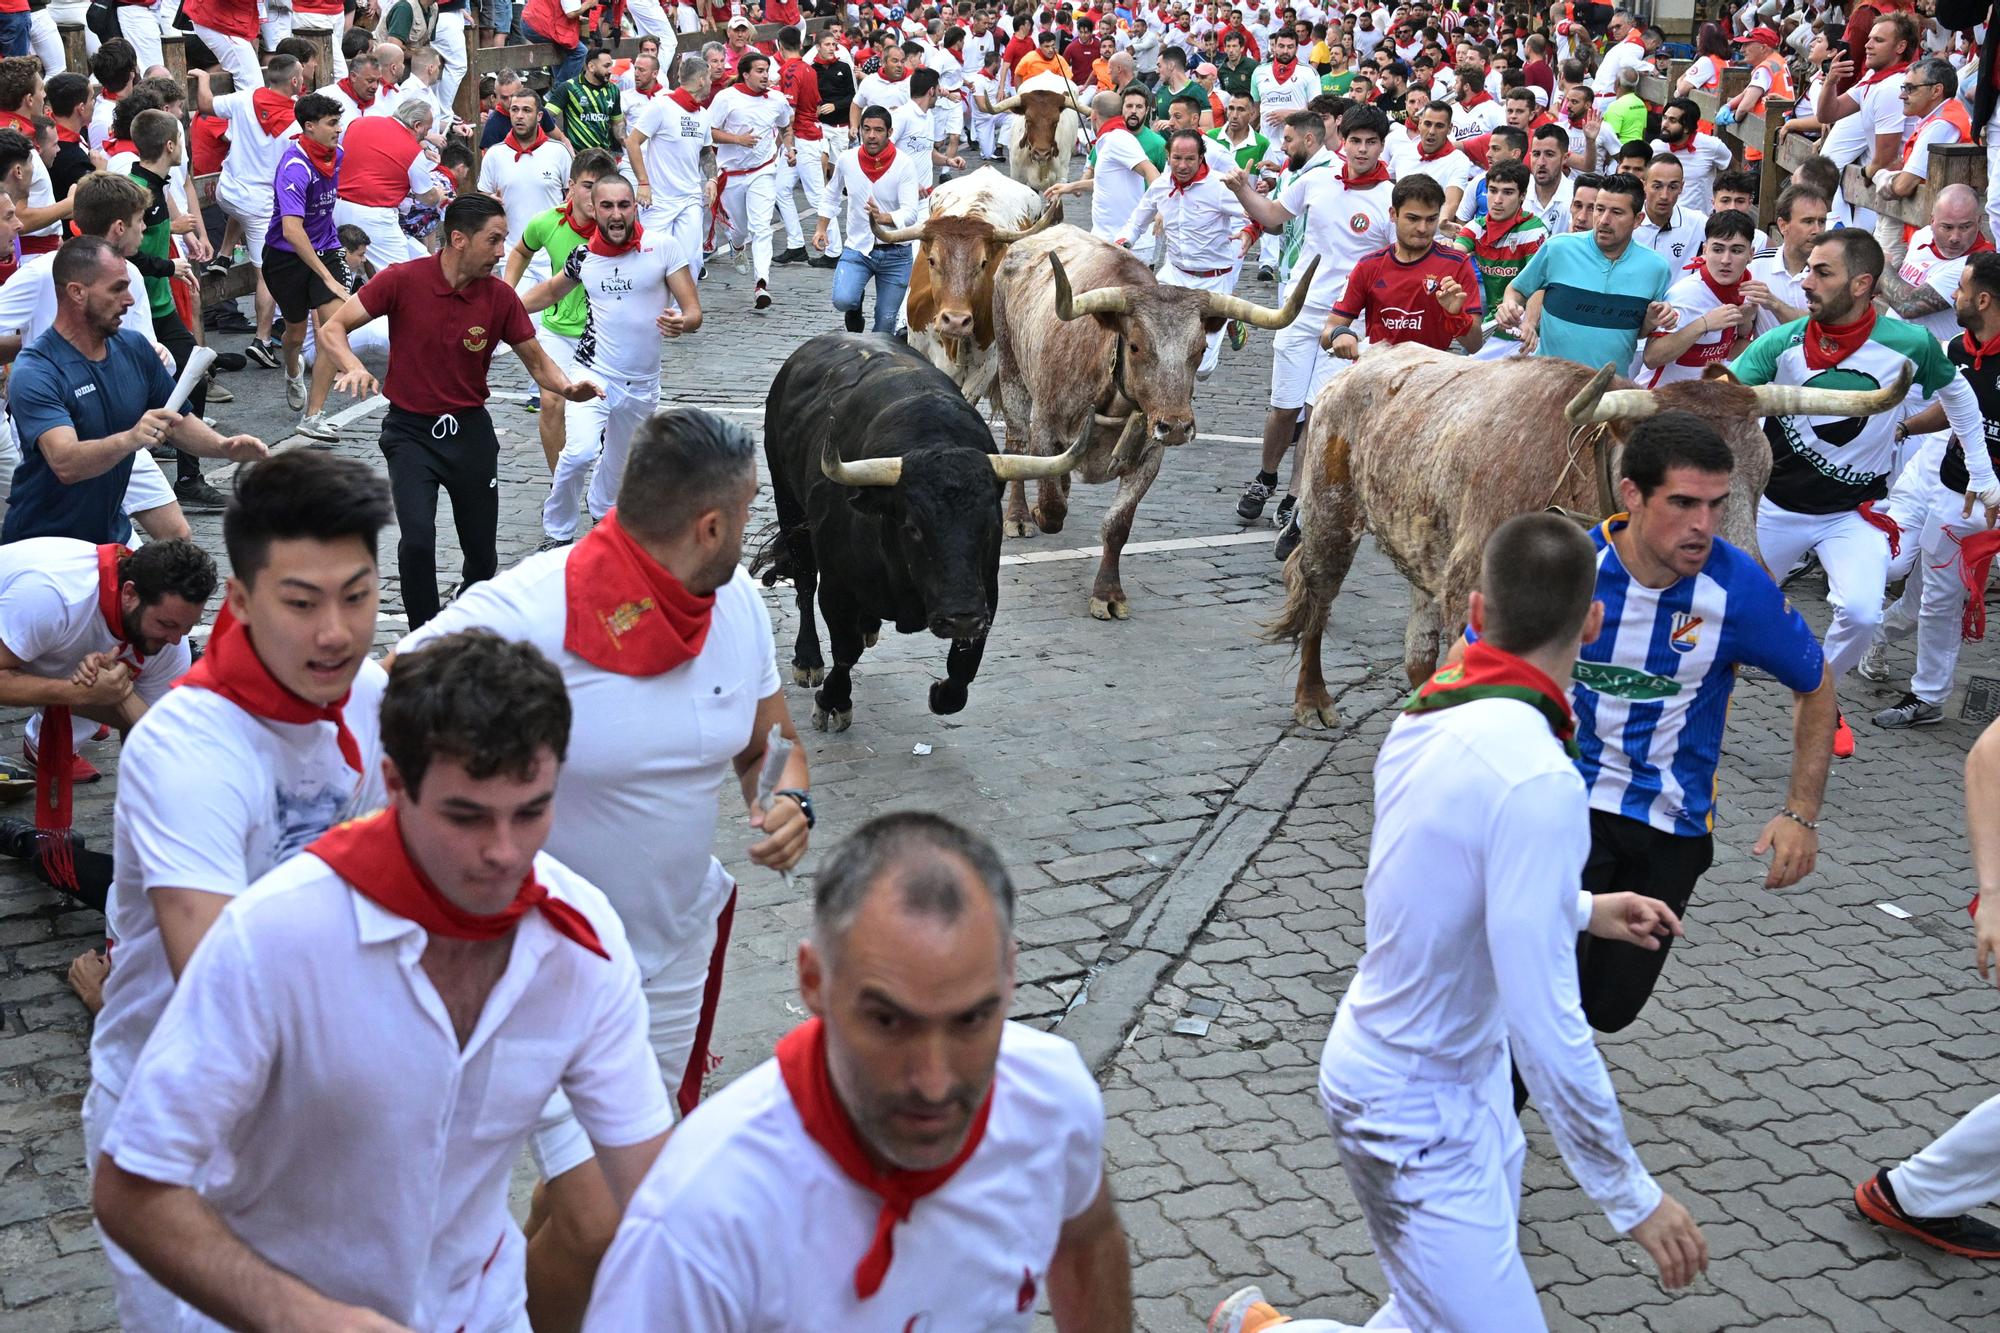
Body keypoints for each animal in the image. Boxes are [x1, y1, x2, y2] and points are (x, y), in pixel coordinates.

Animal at [752, 330, 1080, 728]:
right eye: (912, 527)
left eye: (990, 525)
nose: (961, 619)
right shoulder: (837, 587)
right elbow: (845, 650)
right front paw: (833, 701)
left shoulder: (985, 590)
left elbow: (963, 669)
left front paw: (942, 692)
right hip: (787, 500)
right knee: (803, 581)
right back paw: (808, 659)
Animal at [996, 227, 1312, 616]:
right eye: (1135, 345)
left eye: (1201, 349)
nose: (1176, 426)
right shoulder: (1045, 426)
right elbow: (1053, 504)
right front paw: (1040, 511)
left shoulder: (1149, 458)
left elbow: (1118, 525)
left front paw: (1108, 594)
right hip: (1011, 372)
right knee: (1016, 441)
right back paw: (1019, 517)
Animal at [1264, 338, 1904, 720]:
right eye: (1677, 493)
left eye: (1766, 471)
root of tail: (1369, 357)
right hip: (1332, 515)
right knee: (1316, 590)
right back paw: (1313, 698)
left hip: (1426, 551)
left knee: (1418, 653)